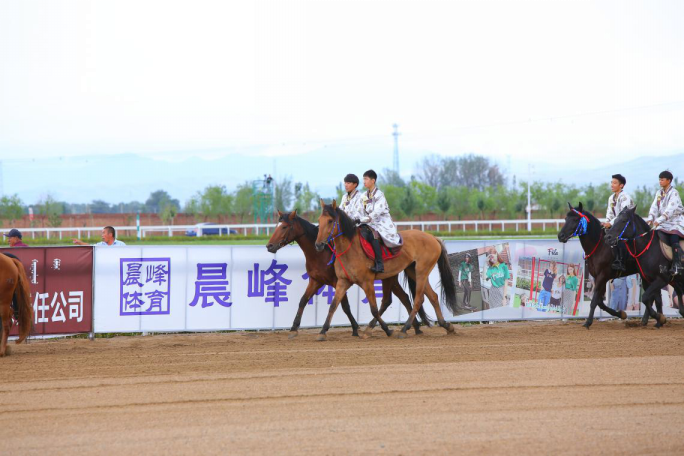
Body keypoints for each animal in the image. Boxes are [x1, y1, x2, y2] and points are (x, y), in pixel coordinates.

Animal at [264, 210, 430, 338]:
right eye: (276, 226)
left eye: (284, 227)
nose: (269, 246)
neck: (320, 254)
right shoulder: (316, 281)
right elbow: (303, 301)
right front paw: (293, 329)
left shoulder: (336, 281)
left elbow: (345, 306)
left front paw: (355, 328)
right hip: (390, 278)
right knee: (404, 297)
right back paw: (415, 328)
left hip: (389, 278)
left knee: (394, 299)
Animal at [316, 198, 460, 340]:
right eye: (319, 220)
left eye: (330, 221)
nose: (318, 245)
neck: (351, 249)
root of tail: (433, 237)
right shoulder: (343, 281)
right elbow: (333, 305)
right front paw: (323, 331)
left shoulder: (367, 282)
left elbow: (374, 309)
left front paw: (387, 330)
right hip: (413, 272)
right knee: (433, 297)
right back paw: (446, 325)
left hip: (421, 272)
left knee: (418, 299)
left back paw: (404, 329)